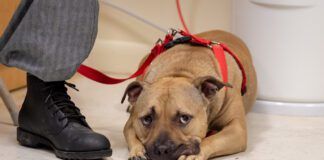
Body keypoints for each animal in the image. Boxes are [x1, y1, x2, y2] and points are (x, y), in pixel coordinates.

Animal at [122, 30, 258, 160]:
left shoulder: (237, 129)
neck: (180, 72)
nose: (162, 149)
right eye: (147, 119)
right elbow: (131, 134)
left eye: (184, 118)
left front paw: (193, 154)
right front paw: (137, 151)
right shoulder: (130, 123)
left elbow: (211, 140)